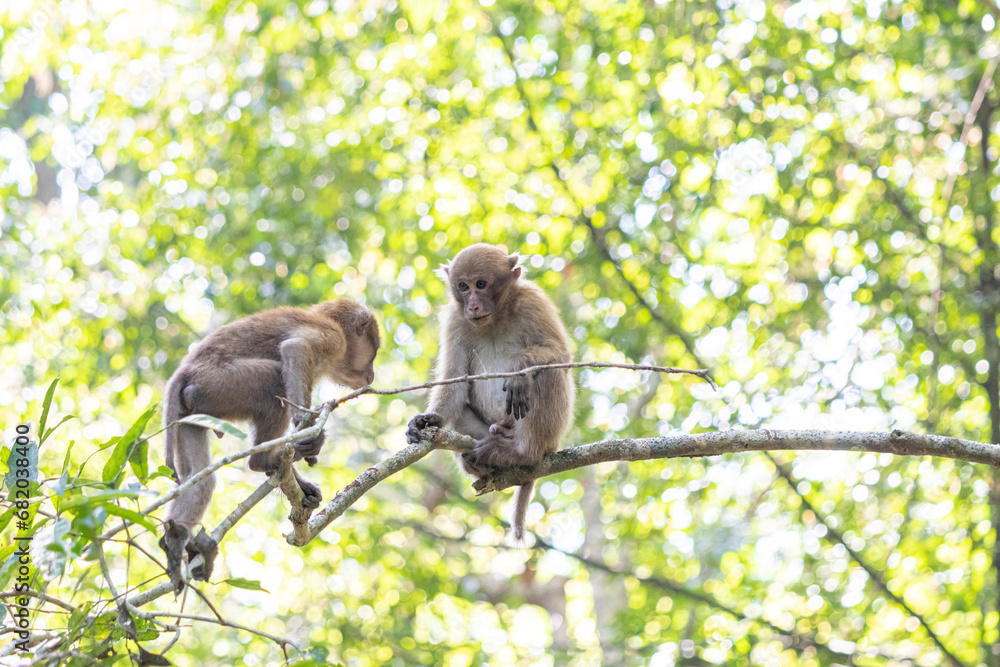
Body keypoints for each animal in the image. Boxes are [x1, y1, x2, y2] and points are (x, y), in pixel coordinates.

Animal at [159, 298, 380, 591]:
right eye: (374, 352)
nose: (372, 374)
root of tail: (184, 371)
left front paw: (302, 484)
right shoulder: (334, 337)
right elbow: (296, 350)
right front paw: (306, 430)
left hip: (189, 414)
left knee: (199, 479)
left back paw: (177, 539)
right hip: (219, 384)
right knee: (273, 380)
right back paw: (261, 460)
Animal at [406, 244, 575, 541]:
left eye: (481, 284)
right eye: (463, 286)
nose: (473, 305)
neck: (496, 316)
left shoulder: (533, 302)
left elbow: (561, 355)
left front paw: (518, 368)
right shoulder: (455, 320)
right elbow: (455, 381)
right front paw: (426, 420)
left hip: (549, 437)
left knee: (547, 373)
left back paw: (523, 453)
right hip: (486, 431)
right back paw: (482, 464)